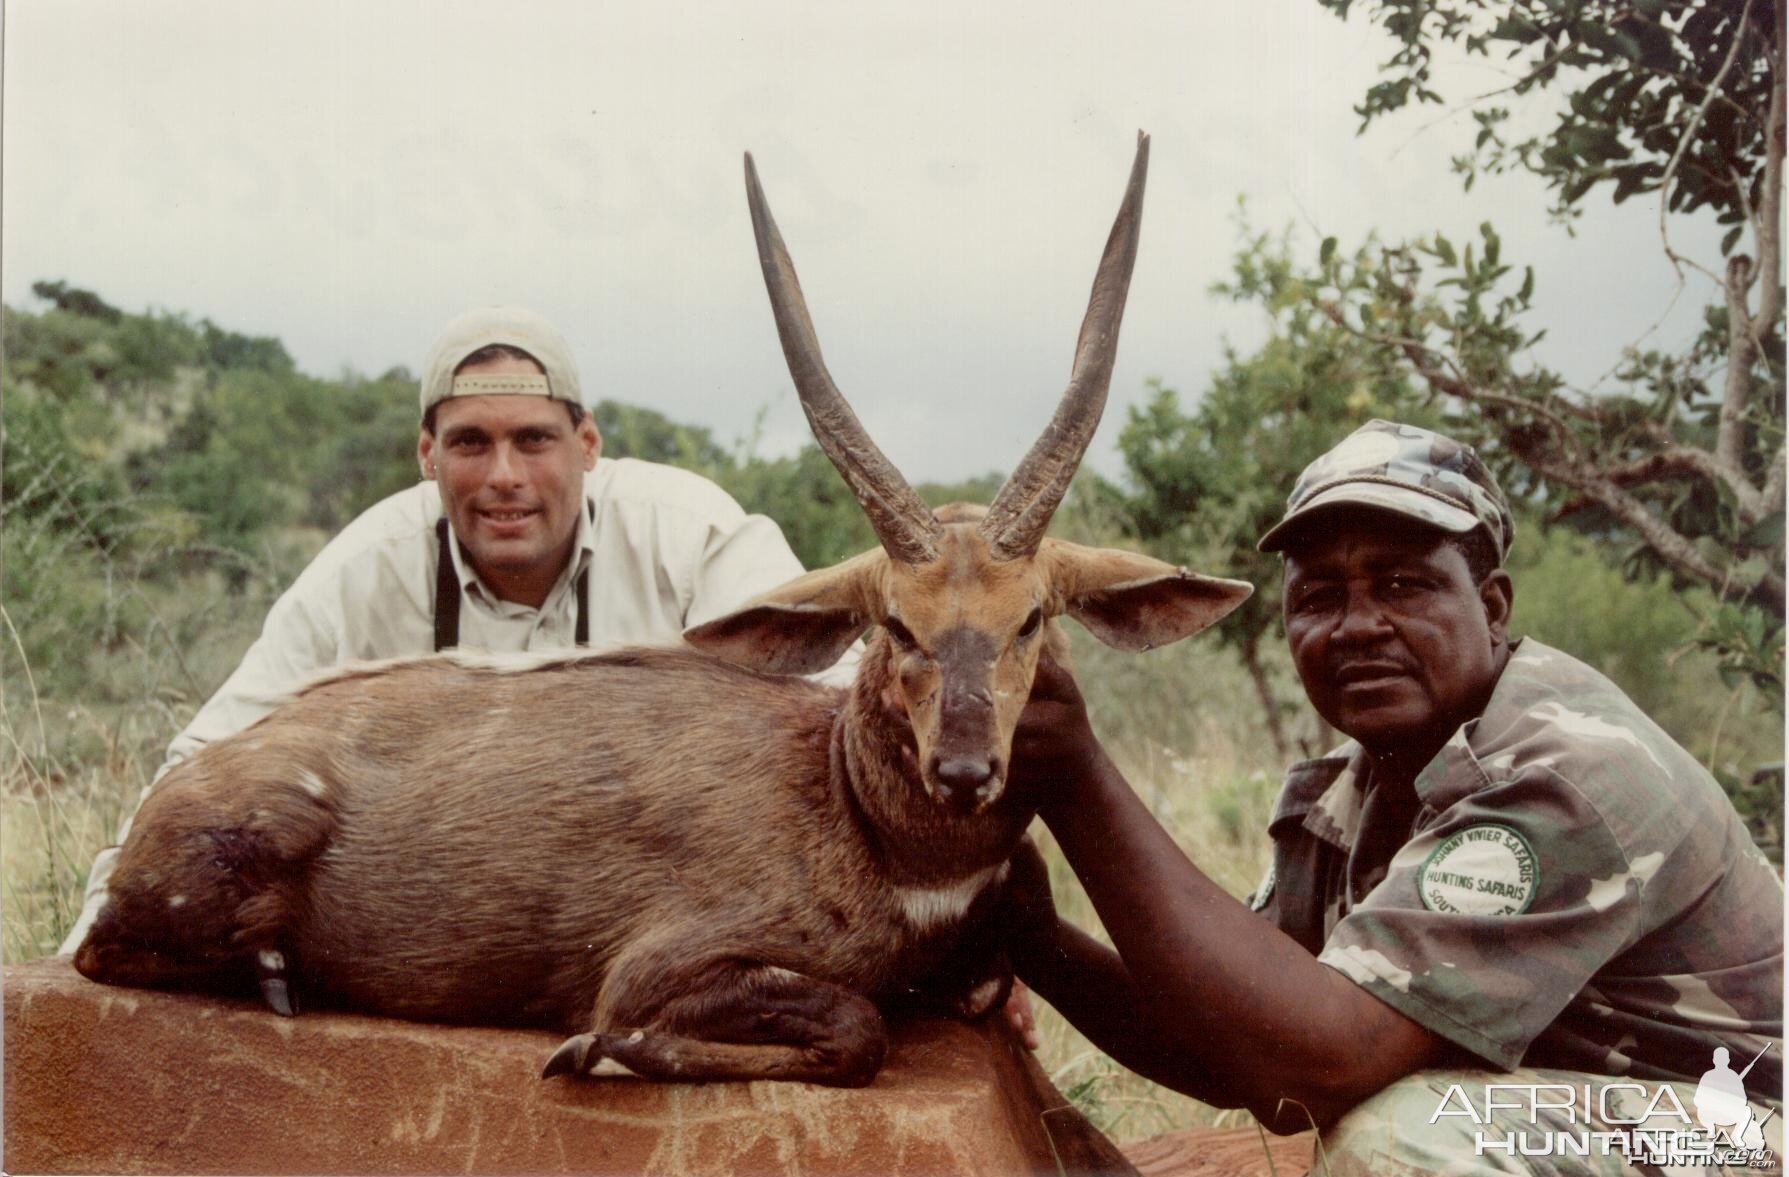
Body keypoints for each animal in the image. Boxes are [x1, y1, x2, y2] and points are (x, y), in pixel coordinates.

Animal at [76, 135, 1252, 1080]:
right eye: (895, 624)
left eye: (1030, 621)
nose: (965, 768)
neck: (869, 831)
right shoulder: (662, 961)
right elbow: (848, 1027)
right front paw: (592, 1052)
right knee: (97, 949)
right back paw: (278, 975)